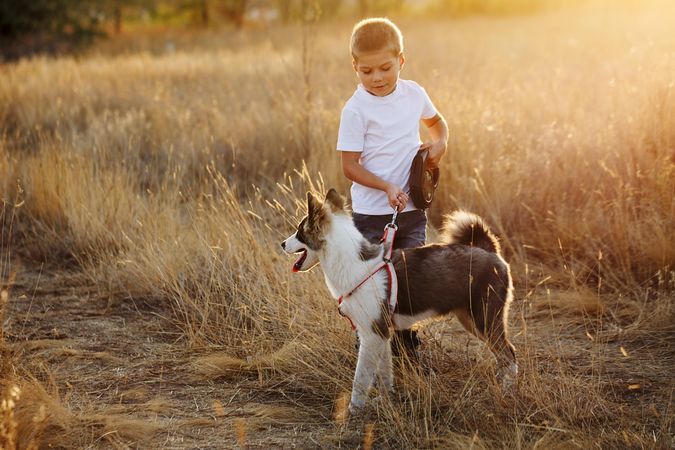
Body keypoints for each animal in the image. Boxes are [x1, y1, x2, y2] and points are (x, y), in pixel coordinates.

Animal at [280, 188, 516, 414]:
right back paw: (499, 383)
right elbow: (384, 373)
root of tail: (489, 250)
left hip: (484, 319)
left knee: (509, 353)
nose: (282, 244)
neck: (354, 263)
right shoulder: (383, 333)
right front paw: (386, 399)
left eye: (299, 232)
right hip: (471, 319)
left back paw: (507, 391)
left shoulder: (371, 334)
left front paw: (354, 408)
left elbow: (361, 378)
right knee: (502, 355)